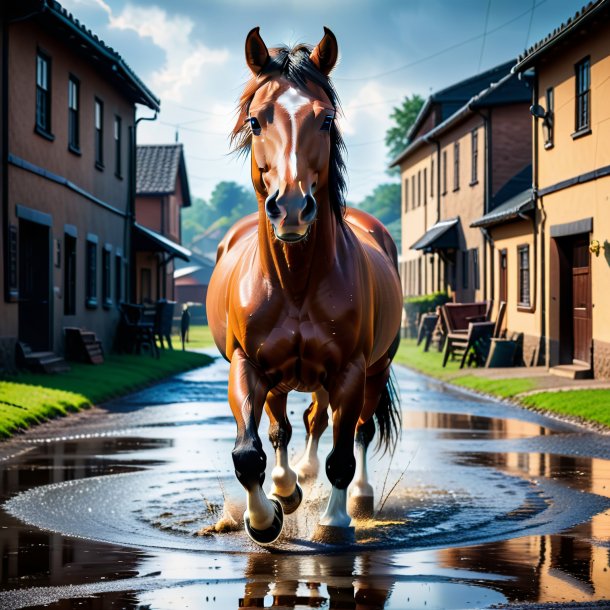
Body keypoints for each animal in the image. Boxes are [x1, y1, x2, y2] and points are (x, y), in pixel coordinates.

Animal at [207, 26, 402, 544]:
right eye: (256, 121)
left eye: (326, 119)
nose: (291, 208)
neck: (295, 282)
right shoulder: (248, 366)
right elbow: (248, 452)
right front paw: (266, 515)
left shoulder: (350, 371)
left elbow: (342, 456)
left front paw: (334, 522)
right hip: (283, 381)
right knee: (288, 428)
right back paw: (290, 485)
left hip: (374, 370)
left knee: (355, 431)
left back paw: (357, 498)